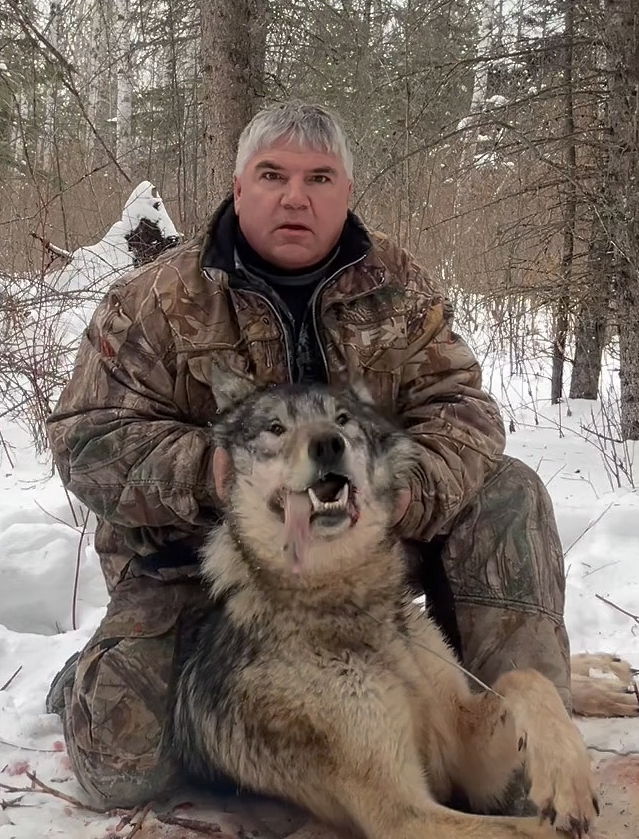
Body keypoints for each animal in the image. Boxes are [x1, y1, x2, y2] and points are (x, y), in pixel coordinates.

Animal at [171, 378, 599, 839]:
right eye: (275, 428)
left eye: (342, 419)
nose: (328, 444)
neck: (350, 601)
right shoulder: (404, 814)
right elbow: (527, 830)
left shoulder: (465, 751)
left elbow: (526, 679)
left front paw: (566, 775)